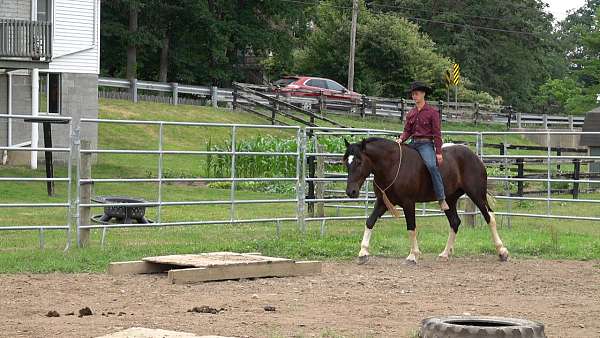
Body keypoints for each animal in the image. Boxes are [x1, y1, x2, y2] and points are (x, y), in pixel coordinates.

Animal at [344, 137, 508, 264]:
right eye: (346, 162)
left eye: (359, 161)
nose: (351, 192)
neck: (393, 164)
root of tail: (475, 157)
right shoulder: (383, 202)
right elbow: (370, 222)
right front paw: (363, 253)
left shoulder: (408, 203)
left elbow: (411, 227)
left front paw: (412, 255)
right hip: (449, 200)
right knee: (455, 222)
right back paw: (444, 254)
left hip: (476, 194)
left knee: (490, 217)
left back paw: (502, 251)